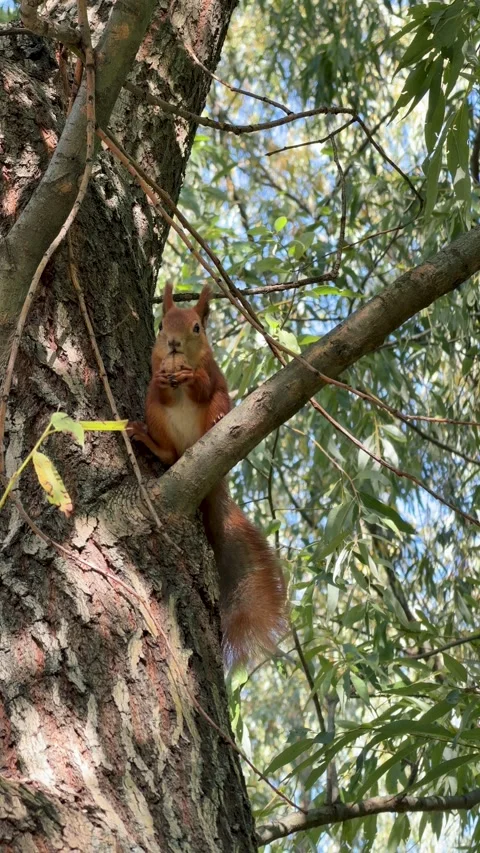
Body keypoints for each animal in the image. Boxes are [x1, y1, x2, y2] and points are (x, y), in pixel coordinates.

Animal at [127, 284, 286, 667]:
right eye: (161, 326)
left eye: (197, 328)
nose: (173, 343)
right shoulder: (157, 373)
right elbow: (160, 384)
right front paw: (166, 377)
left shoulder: (213, 372)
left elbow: (203, 383)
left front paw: (189, 378)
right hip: (155, 416)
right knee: (167, 449)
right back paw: (151, 443)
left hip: (219, 403)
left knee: (212, 407)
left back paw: (215, 424)